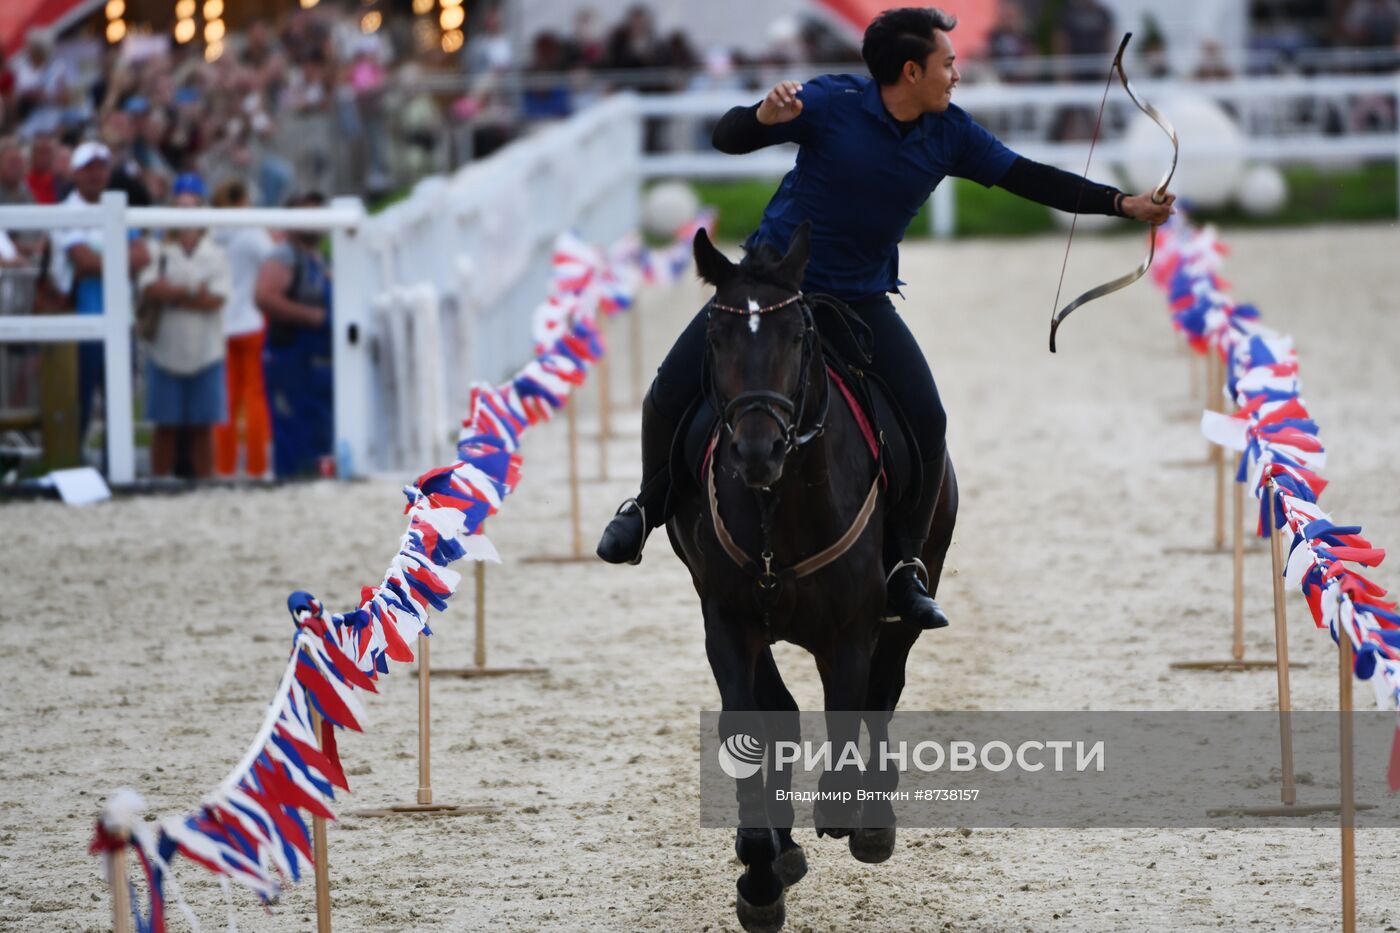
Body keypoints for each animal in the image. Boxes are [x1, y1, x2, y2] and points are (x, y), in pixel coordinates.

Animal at [663, 225, 952, 930]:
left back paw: (871, 817)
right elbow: (749, 726)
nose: (757, 449)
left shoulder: (850, 630)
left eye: (797, 335)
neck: (779, 507)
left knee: (884, 689)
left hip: (907, 601)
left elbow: (851, 711)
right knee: (784, 713)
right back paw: (783, 848)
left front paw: (850, 815)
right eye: (716, 337)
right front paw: (760, 869)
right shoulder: (729, 620)